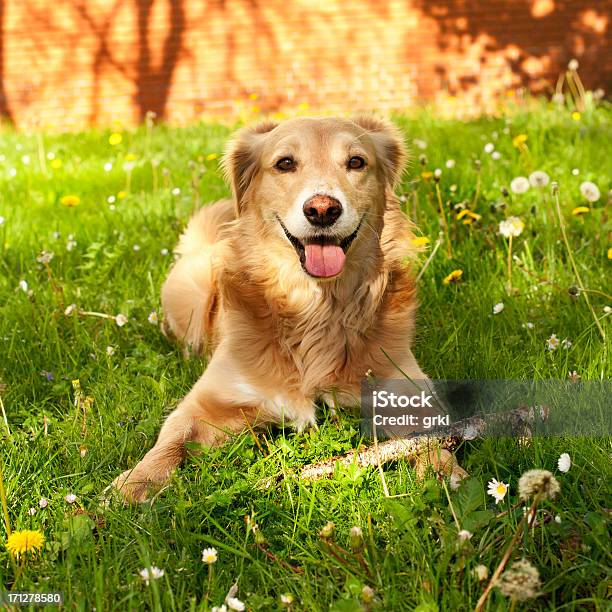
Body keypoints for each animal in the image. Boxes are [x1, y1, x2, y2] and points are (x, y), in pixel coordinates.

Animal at [113, 116, 464, 502]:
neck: (316, 308)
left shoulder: (404, 389)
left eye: (356, 162)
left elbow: (430, 436)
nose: (323, 209)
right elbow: (171, 439)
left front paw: (442, 469)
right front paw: (136, 482)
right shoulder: (208, 403)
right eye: (285, 163)